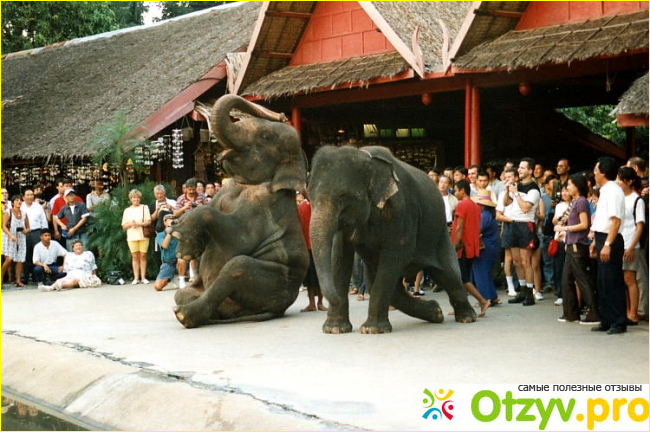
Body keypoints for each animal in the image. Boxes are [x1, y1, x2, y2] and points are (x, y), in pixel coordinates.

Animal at [169, 95, 309, 328]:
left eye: (264, 136)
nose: (281, 115)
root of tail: (277, 311)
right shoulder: (224, 191)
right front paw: (185, 250)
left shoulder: (265, 206)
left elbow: (239, 242)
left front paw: (177, 232)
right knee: (182, 294)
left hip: (274, 282)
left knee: (237, 265)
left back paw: (184, 315)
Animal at [308, 145, 476, 334]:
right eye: (310, 196)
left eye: (344, 196)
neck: (367, 158)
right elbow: (340, 257)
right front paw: (334, 329)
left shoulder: (402, 213)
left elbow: (394, 255)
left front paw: (371, 330)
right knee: (381, 282)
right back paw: (436, 312)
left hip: (440, 236)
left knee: (449, 274)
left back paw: (466, 317)